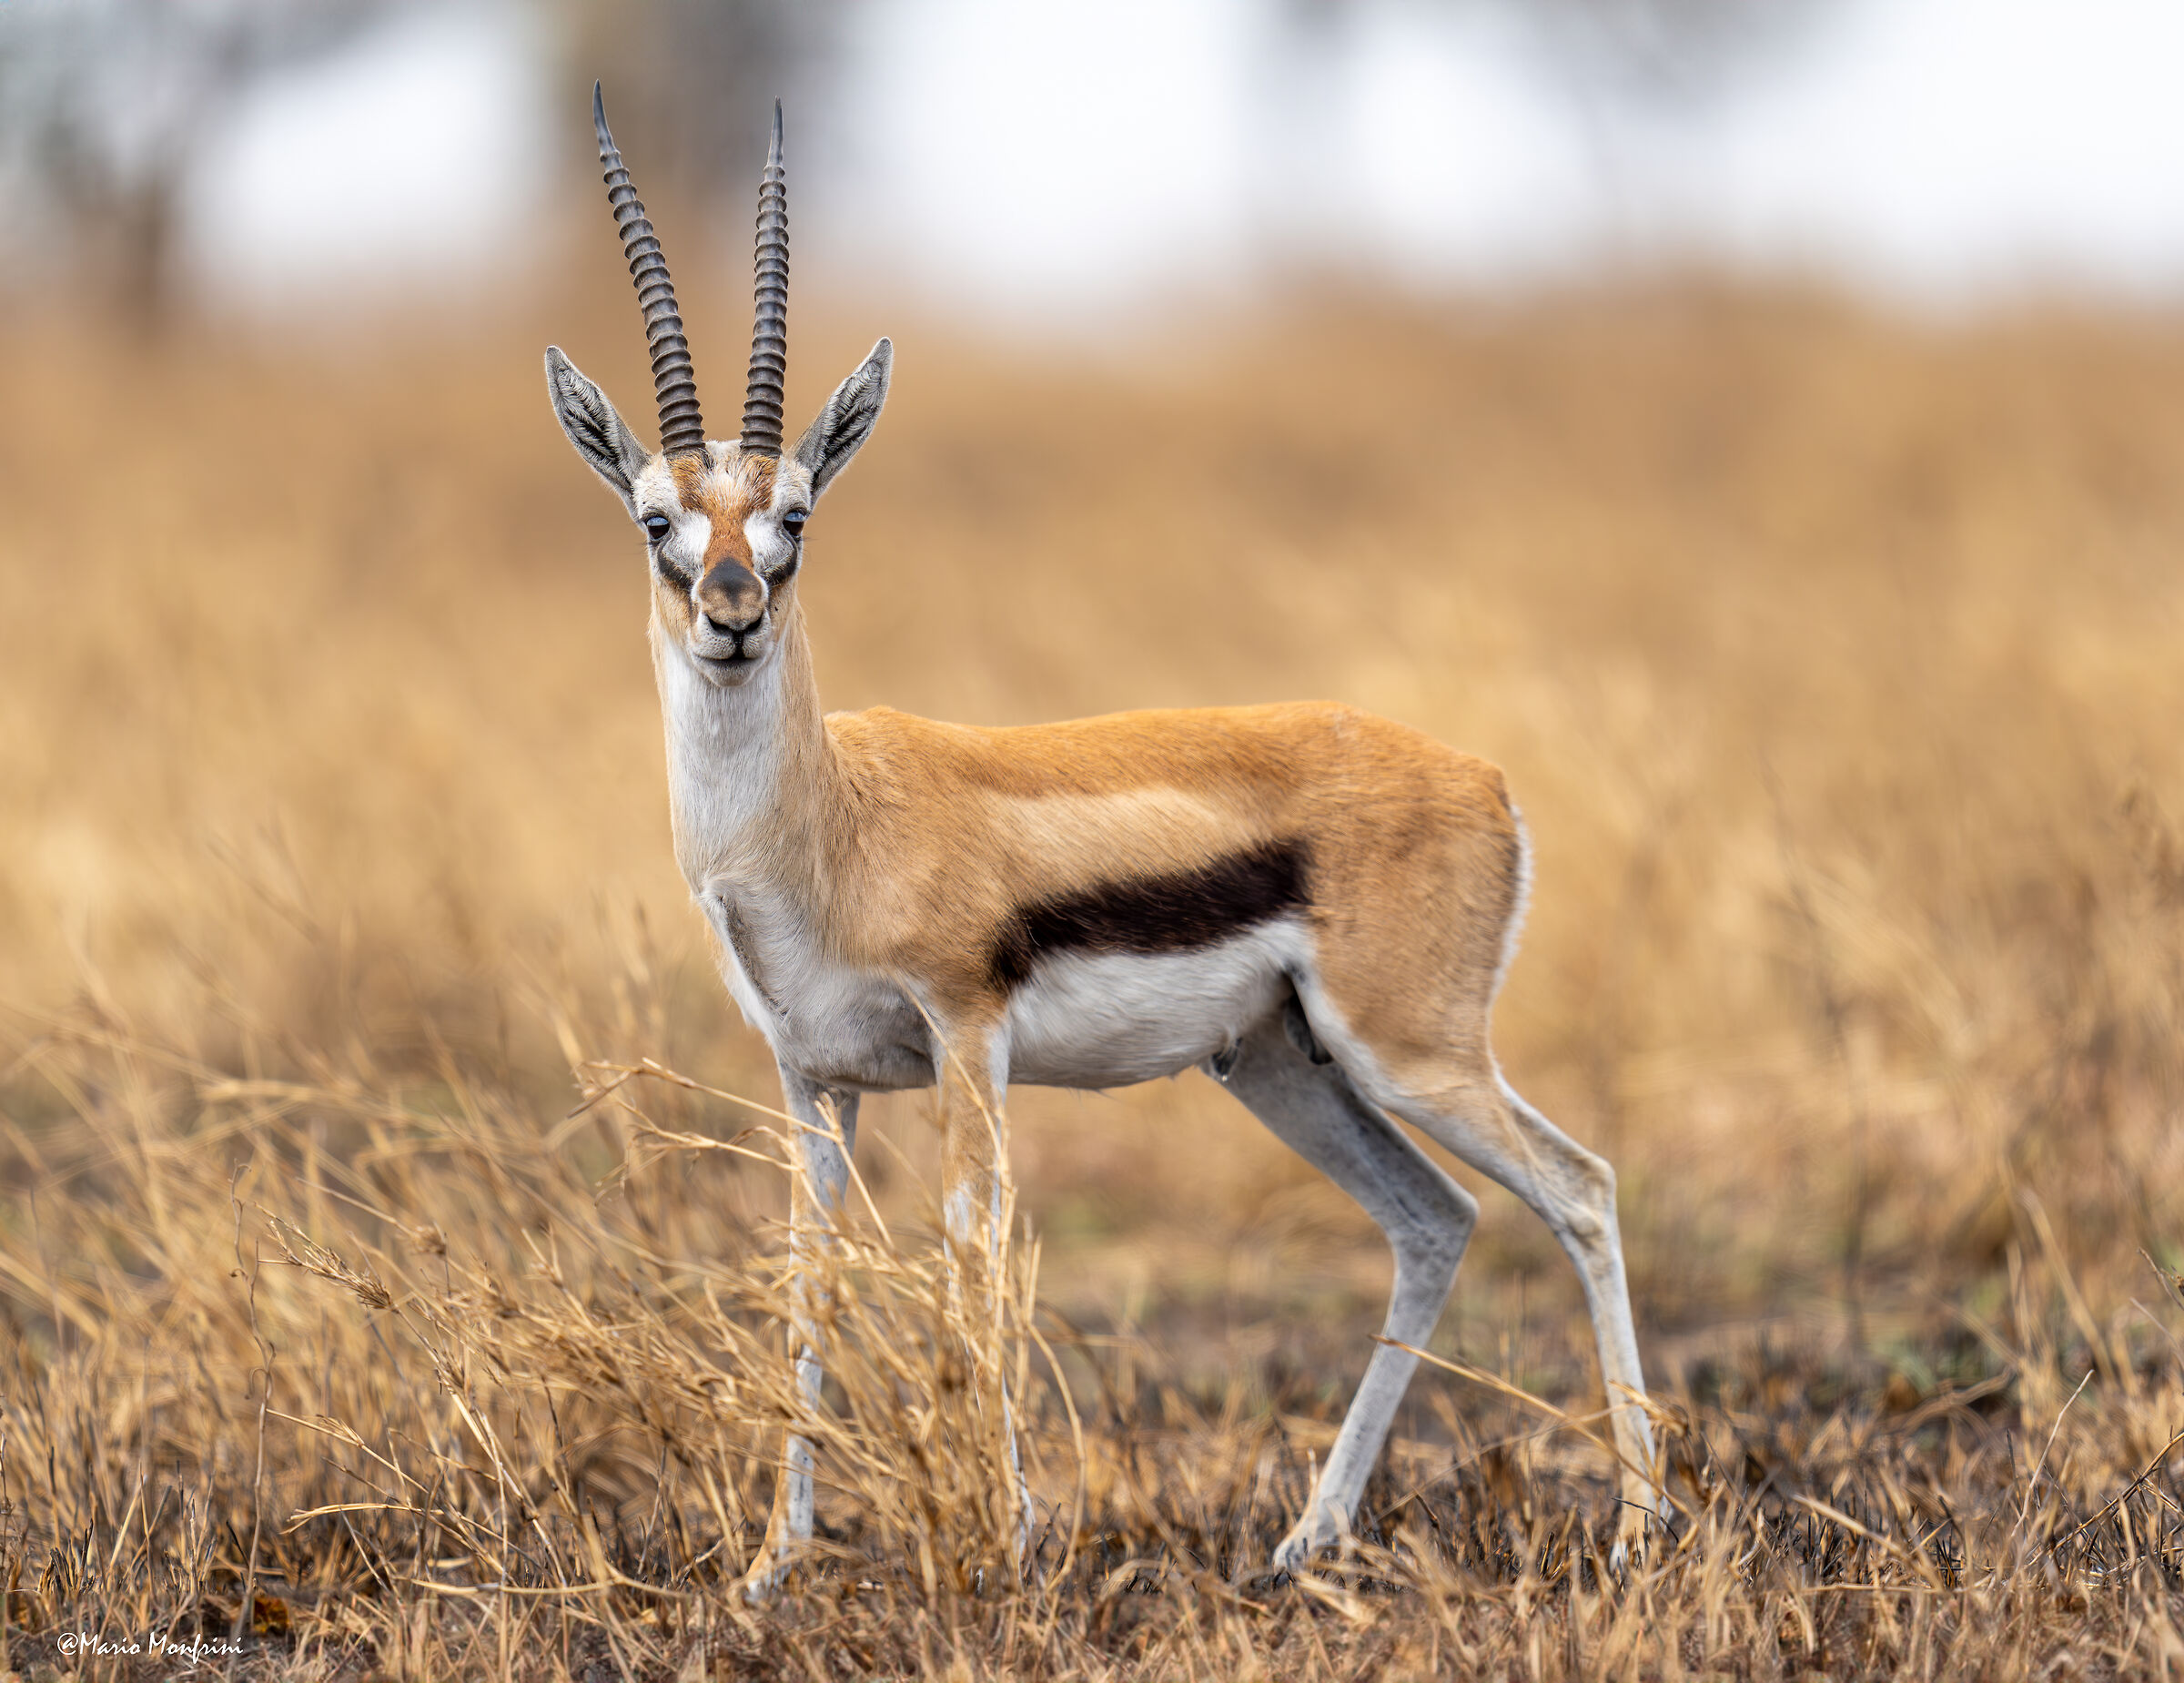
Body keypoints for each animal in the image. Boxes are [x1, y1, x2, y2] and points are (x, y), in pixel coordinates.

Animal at [546, 89, 1661, 1590]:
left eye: (795, 516)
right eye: (657, 516)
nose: (732, 611)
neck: (827, 825)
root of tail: (1486, 779)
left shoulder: (967, 1038)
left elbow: (976, 1249)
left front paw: (1006, 1538)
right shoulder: (811, 1081)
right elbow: (809, 1275)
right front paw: (777, 1563)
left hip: (1411, 1050)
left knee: (1580, 1189)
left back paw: (1641, 1527)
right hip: (1283, 1065)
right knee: (1438, 1218)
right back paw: (1306, 1538)